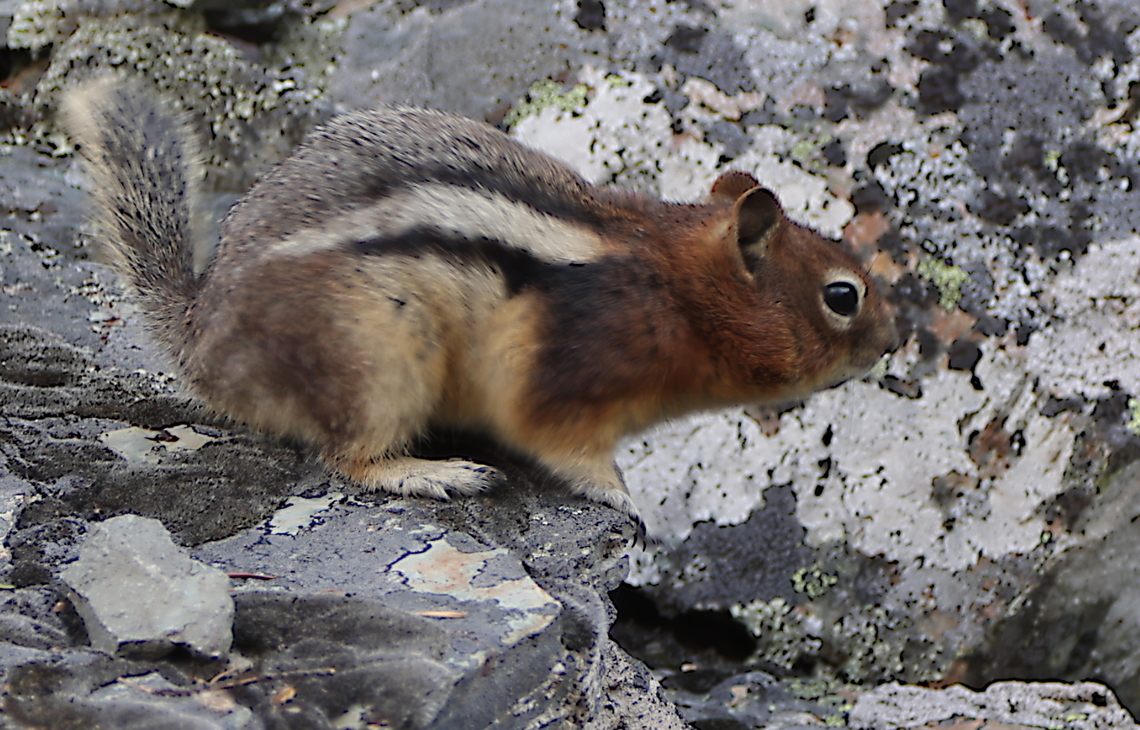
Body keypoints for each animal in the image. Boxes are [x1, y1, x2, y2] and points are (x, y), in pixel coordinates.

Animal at [62, 78, 897, 528]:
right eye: (842, 296)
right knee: (347, 458)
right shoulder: (566, 382)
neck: (677, 291)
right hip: (376, 359)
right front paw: (622, 498)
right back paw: (437, 473)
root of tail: (203, 339)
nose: (891, 343)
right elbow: (564, 446)